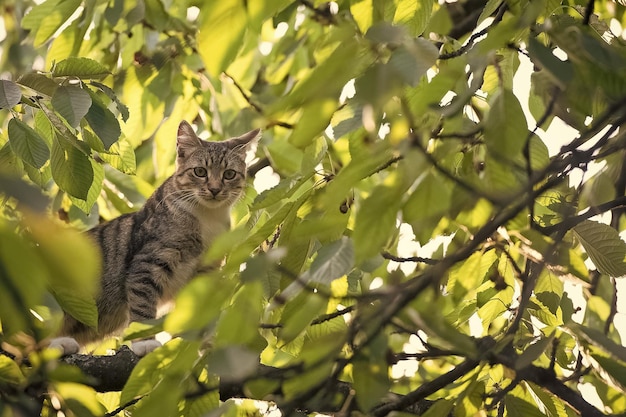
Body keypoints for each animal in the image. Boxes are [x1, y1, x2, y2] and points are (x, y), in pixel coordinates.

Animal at [49, 120, 260, 354]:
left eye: (229, 174)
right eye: (200, 171)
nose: (214, 189)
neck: (208, 218)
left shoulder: (206, 271)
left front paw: (203, 342)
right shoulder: (148, 262)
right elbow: (142, 309)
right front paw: (145, 342)